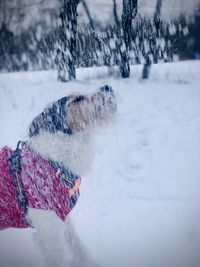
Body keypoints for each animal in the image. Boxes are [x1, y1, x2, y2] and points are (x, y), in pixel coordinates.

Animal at [0, 85, 116, 267]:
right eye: (77, 99)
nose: (107, 86)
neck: (54, 162)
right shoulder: (50, 232)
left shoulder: (61, 215)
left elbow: (77, 244)